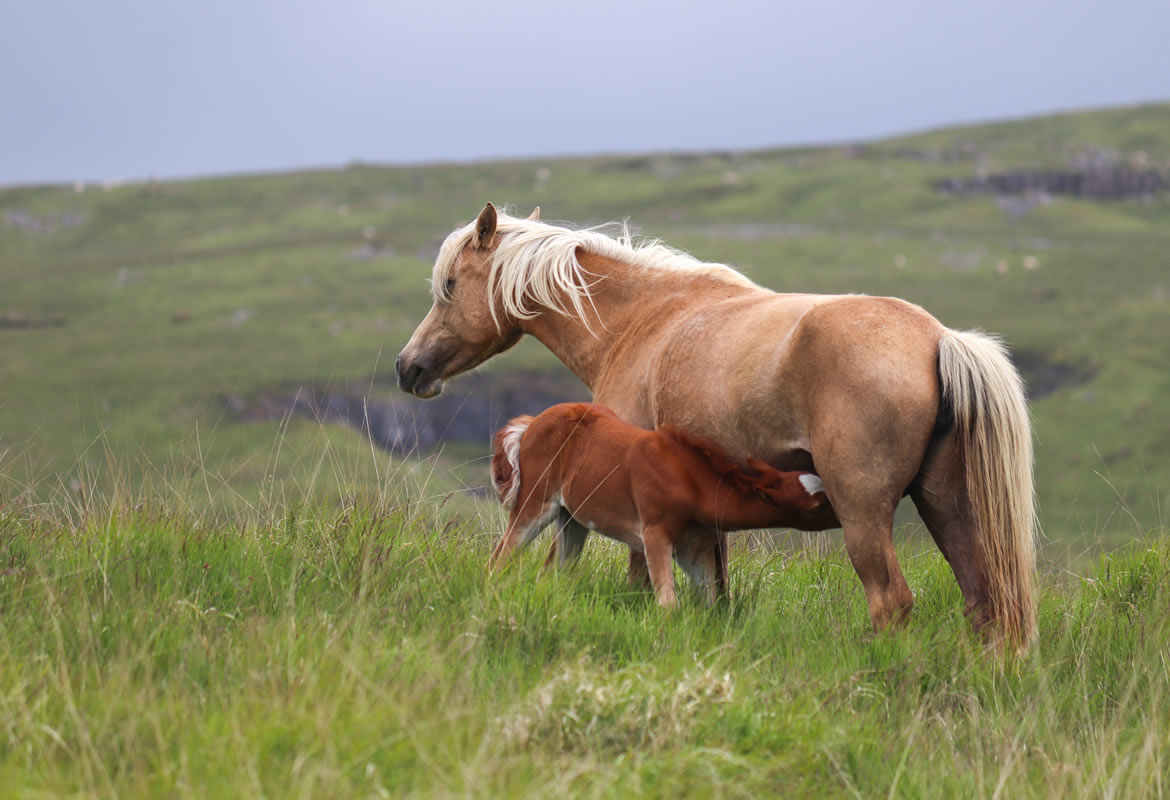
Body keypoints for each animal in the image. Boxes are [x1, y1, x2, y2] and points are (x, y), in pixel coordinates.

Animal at [489, 402, 837, 603]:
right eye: (817, 507)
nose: (841, 513)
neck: (691, 482)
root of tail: (532, 422)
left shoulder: (694, 549)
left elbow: (709, 599)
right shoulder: (654, 534)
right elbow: (668, 601)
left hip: (571, 518)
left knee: (553, 571)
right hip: (535, 501)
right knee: (502, 554)